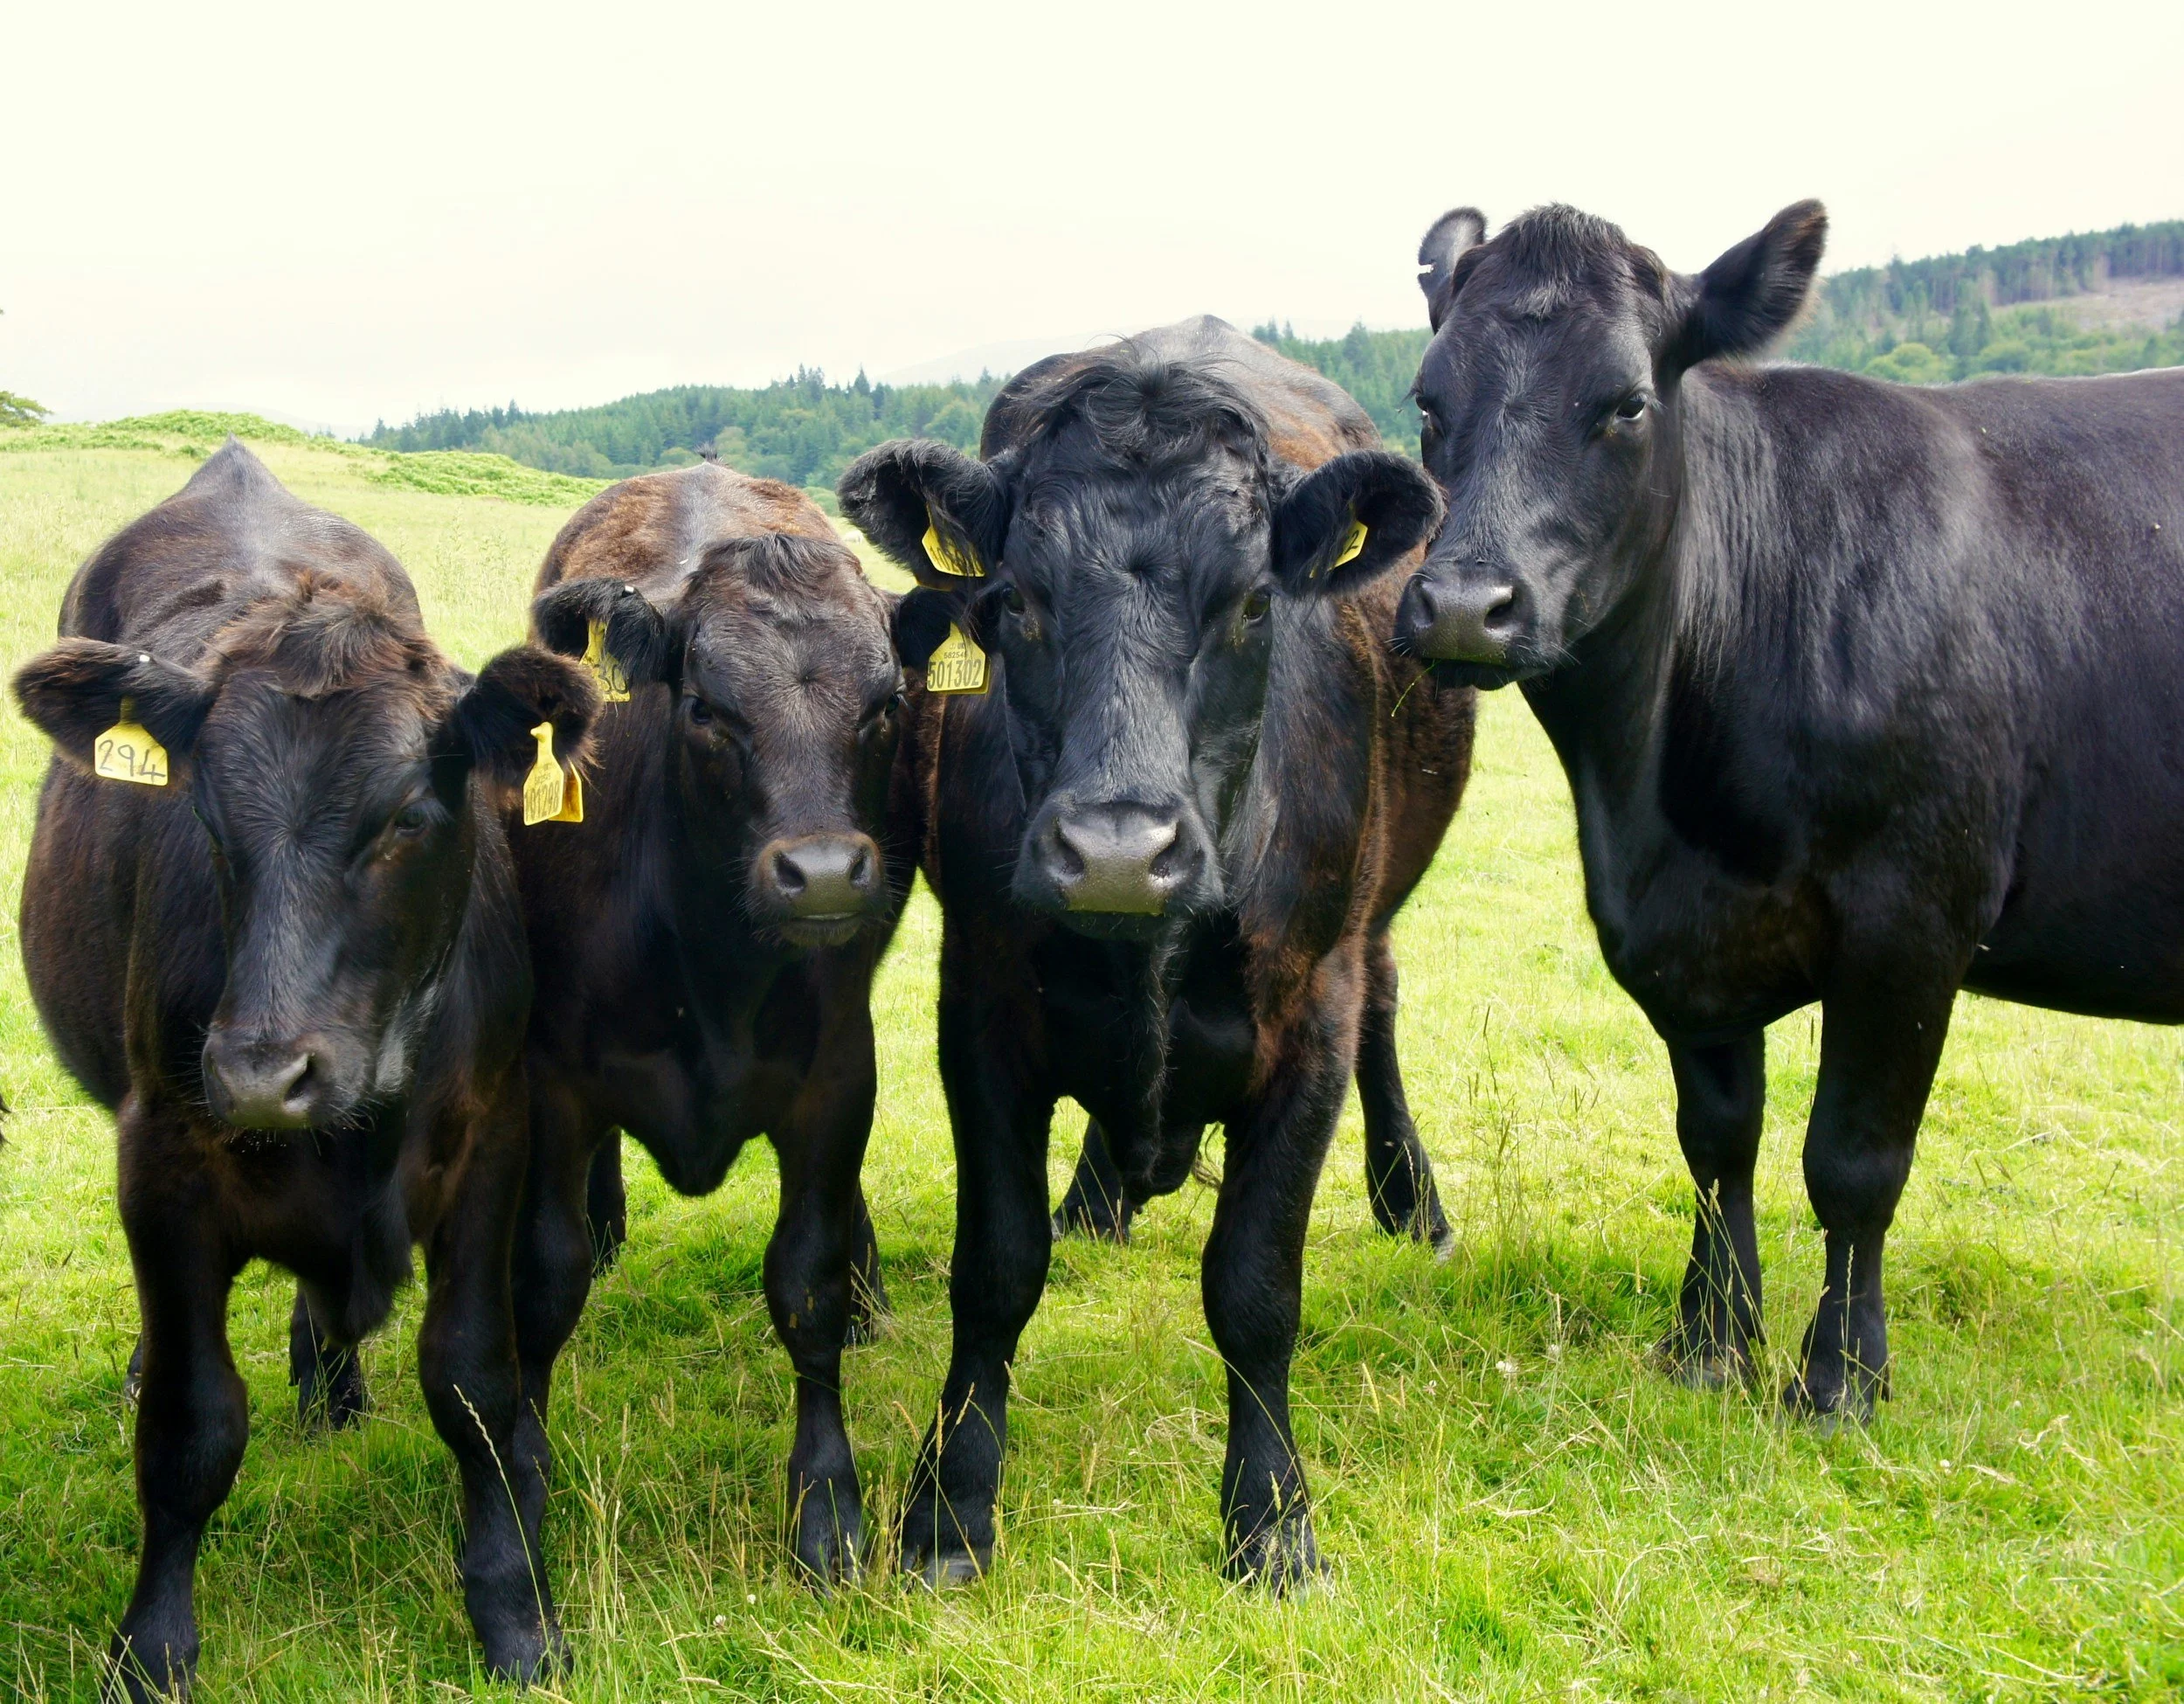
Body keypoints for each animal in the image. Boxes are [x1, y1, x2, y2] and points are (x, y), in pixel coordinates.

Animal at [12, 441, 598, 1697]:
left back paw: (333, 1382)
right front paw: (151, 1647)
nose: (259, 1073)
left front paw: (515, 1613)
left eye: (409, 816)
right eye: (205, 814)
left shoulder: (492, 1137)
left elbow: (475, 1384)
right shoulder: (162, 1160)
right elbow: (190, 1426)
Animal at [494, 463, 912, 1584]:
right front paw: (524, 1484)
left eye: (888, 703)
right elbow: (542, 1285)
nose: (823, 875)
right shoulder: (552, 1081)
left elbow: (804, 1283)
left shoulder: (835, 1080)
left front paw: (827, 1509)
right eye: (706, 707)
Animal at [838, 315, 1474, 1587]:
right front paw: (948, 1507)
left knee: (1386, 998)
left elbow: (1256, 1289)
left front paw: (1271, 1522)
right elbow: (996, 1269)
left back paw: (1413, 1203)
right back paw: (1100, 1194)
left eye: (1251, 605)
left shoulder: (1308, 1024)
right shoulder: (980, 1008)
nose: (1118, 854)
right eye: (1014, 602)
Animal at [1395, 199, 2184, 1420]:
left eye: (1626, 403)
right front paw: (1710, 1341)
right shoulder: (1683, 938)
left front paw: (1841, 1377)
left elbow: (1852, 1163)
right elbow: (1717, 1142)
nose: (1462, 607)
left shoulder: (1913, 917)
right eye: (1428, 402)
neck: (1653, 802)